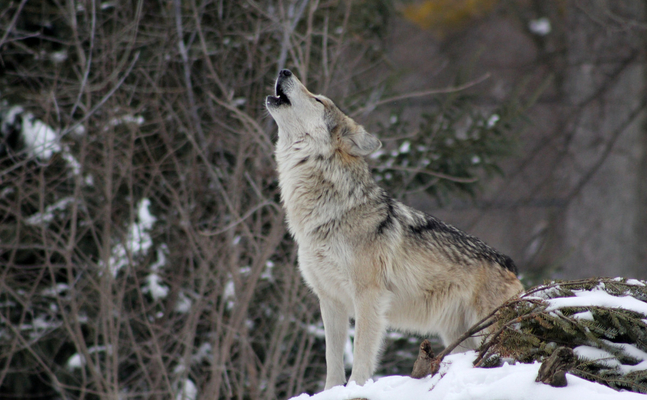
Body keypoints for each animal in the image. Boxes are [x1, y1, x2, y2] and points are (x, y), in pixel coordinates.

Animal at [266, 68, 524, 388]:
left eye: (318, 99)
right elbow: (332, 361)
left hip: (488, 329)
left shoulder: (369, 297)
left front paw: (356, 389)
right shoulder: (330, 300)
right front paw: (332, 391)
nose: (284, 70)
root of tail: (510, 264)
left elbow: (361, 355)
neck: (328, 214)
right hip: (458, 337)